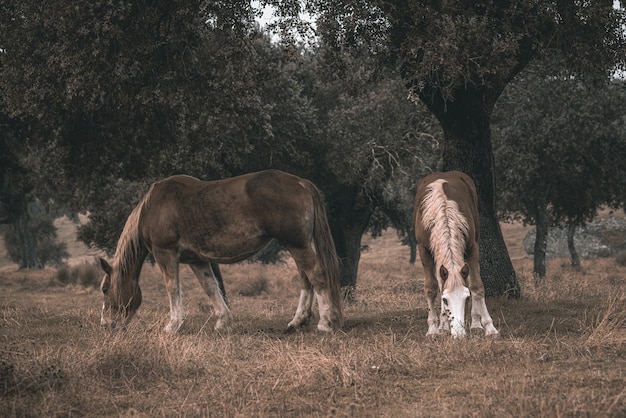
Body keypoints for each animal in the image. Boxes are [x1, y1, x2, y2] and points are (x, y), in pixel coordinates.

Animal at [98, 169, 342, 334]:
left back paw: (325, 323)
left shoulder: (165, 253)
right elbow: (211, 288)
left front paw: (173, 325)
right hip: (297, 244)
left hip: (297, 244)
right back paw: (297, 322)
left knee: (316, 275)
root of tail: (302, 183)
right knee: (306, 279)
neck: (153, 207)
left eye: (105, 290)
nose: (106, 324)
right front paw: (223, 322)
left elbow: (172, 287)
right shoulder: (197, 260)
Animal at [414, 171, 498, 338]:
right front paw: (433, 329)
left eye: (467, 298)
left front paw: (489, 327)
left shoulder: (472, 247)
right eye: (446, 300)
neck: (443, 210)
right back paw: (443, 326)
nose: (459, 334)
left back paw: (475, 324)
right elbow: (431, 288)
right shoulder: (423, 249)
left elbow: (476, 286)